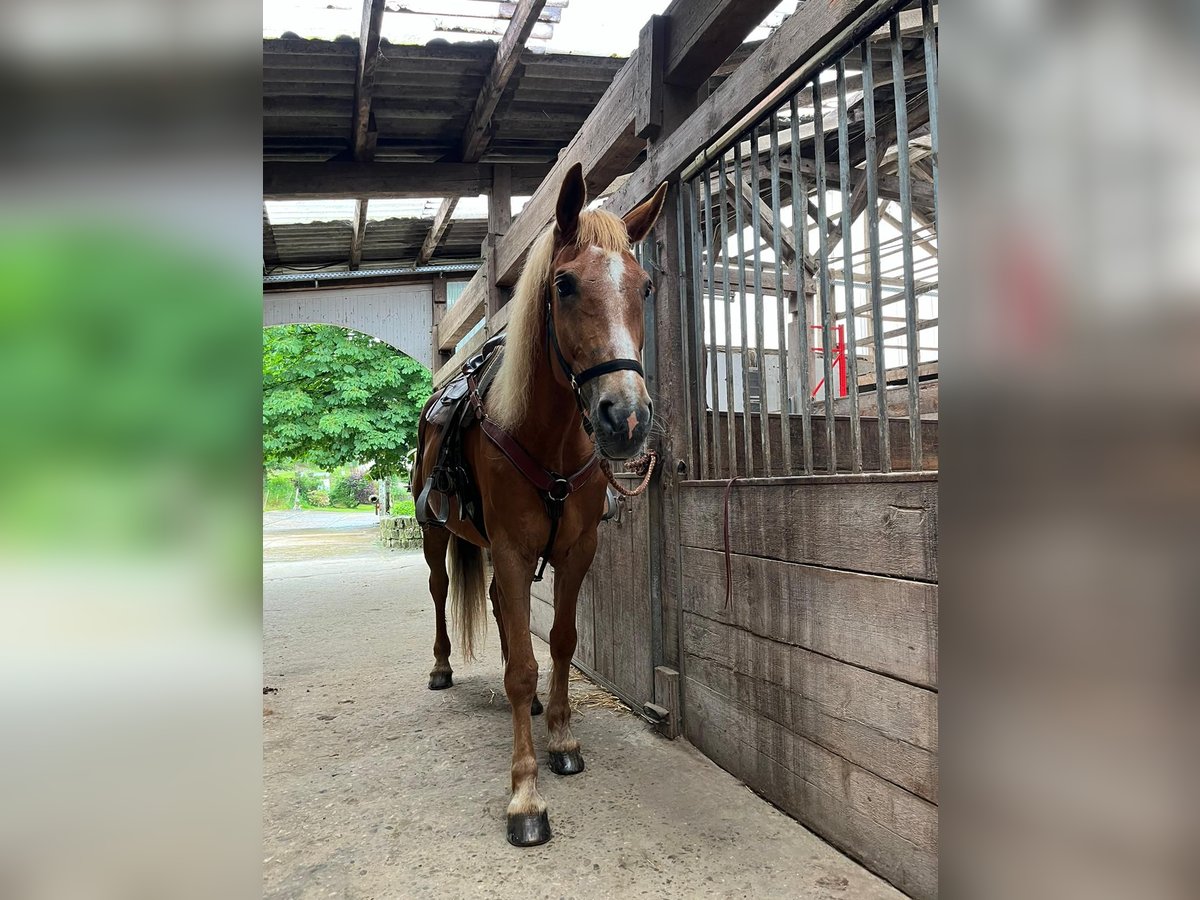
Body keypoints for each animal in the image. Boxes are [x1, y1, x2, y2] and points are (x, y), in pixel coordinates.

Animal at [412, 165, 672, 849]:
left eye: (644, 285)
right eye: (564, 283)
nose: (626, 419)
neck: (545, 436)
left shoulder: (576, 551)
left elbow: (557, 642)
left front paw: (561, 739)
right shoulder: (509, 547)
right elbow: (526, 665)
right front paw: (525, 795)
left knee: (504, 612)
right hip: (436, 537)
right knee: (441, 592)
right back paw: (442, 668)